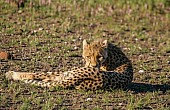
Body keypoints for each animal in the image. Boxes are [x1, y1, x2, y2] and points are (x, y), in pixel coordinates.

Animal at [4, 39, 133, 90]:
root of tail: (100, 78)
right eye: (88, 56)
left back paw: (12, 74)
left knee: (46, 76)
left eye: (99, 56)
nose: (93, 66)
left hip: (71, 72)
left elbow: (40, 73)